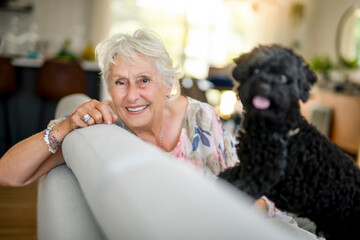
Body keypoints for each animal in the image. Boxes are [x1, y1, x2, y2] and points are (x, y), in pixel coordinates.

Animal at [218, 45, 360, 240]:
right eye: (255, 70)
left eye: (283, 77)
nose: (264, 85)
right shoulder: (246, 168)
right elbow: (225, 178)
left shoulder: (258, 178)